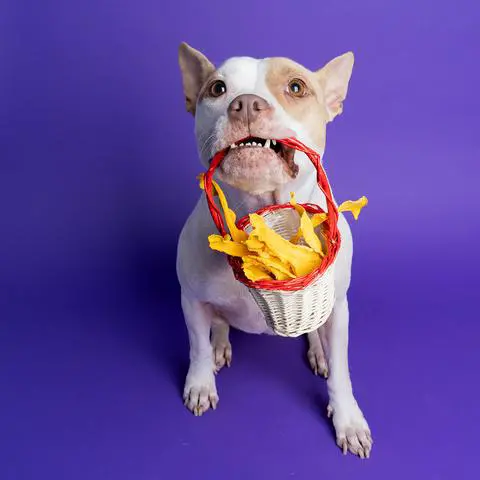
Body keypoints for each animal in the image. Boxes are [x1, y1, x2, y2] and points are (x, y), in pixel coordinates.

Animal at [175, 44, 372, 458]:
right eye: (217, 88)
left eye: (296, 87)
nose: (246, 103)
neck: (259, 214)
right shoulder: (191, 301)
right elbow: (197, 347)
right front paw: (200, 383)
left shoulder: (338, 308)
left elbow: (342, 371)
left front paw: (348, 420)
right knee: (219, 325)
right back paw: (220, 347)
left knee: (316, 337)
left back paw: (318, 352)